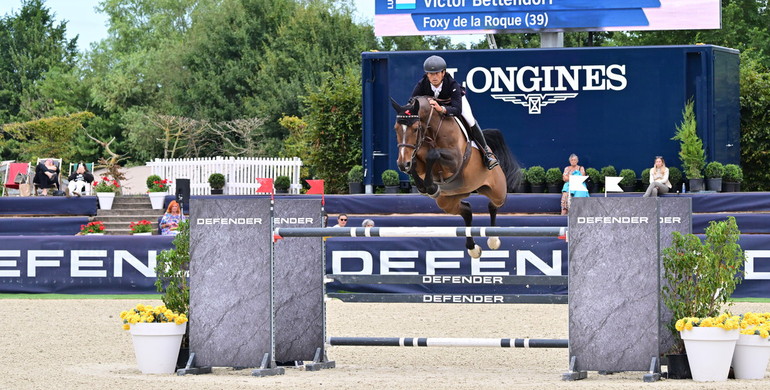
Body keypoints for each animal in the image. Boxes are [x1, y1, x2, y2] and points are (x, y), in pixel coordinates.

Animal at [388, 95, 520, 258]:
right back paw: (473, 248)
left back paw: (493, 240)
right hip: (448, 200)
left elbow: (433, 154)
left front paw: (430, 187)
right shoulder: (417, 158)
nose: (401, 164)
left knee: (494, 205)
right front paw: (426, 187)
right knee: (467, 210)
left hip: (497, 190)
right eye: (396, 129)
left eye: (416, 128)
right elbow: (415, 162)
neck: (431, 132)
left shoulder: (455, 160)